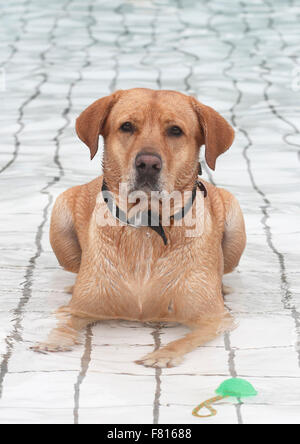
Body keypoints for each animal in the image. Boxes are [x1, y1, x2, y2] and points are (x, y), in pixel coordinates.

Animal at [32, 89, 246, 368]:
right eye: (127, 126)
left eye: (175, 131)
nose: (147, 163)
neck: (147, 225)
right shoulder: (81, 308)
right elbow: (67, 321)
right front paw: (55, 339)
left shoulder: (215, 318)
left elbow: (185, 339)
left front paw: (162, 355)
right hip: (60, 217)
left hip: (235, 221)